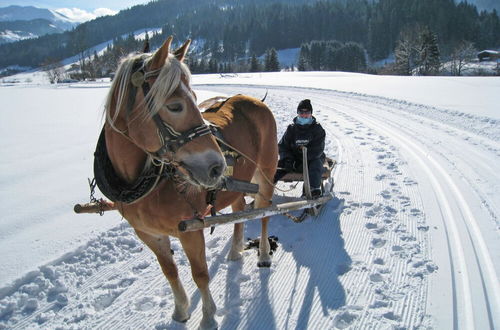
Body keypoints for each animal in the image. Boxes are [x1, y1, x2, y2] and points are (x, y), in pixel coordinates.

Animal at [100, 34, 278, 328]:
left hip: (265, 172)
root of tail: (252, 98)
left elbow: (200, 274)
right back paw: (235, 250)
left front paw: (208, 317)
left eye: (195, 99)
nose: (217, 166)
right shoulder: (148, 234)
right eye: (175, 105)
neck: (146, 184)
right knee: (240, 208)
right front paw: (181, 310)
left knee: (264, 212)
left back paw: (263, 254)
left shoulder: (192, 230)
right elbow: (170, 271)